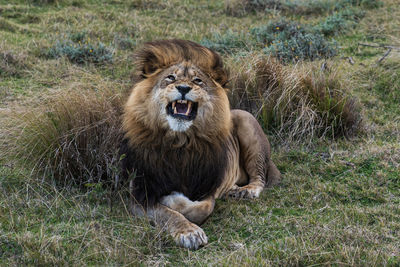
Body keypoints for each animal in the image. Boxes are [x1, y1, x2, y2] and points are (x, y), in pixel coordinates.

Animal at [120, 39, 280, 251]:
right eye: (170, 78)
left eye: (197, 81)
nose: (183, 88)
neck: (179, 145)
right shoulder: (139, 193)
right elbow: (167, 214)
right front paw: (189, 232)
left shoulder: (207, 188)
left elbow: (201, 208)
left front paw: (174, 201)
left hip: (246, 120)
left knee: (259, 177)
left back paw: (246, 191)